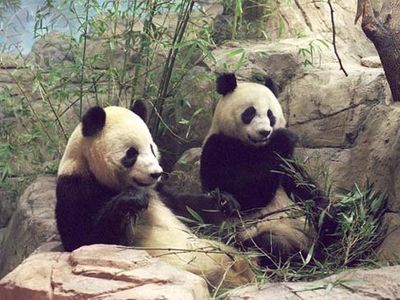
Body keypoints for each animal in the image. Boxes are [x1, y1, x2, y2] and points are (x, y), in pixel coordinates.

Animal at [54, 101, 253, 288]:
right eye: (131, 153)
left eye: (151, 147)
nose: (156, 173)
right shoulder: (75, 188)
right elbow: (87, 241)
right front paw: (133, 199)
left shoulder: (159, 192)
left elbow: (187, 206)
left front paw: (224, 201)